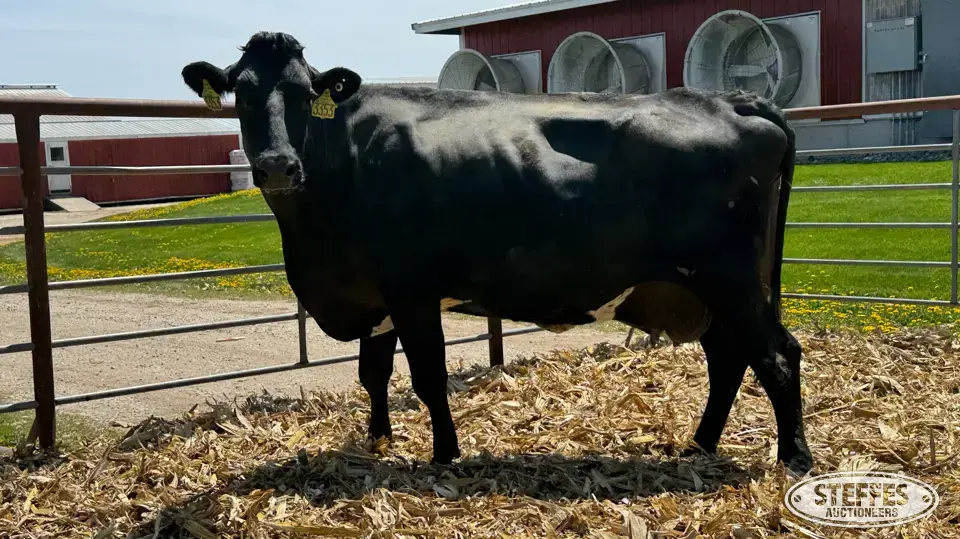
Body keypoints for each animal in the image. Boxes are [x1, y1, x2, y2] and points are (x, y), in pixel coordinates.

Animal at [180, 31, 813, 475]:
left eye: (305, 93)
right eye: (241, 92)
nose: (277, 165)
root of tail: (731, 100)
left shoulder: (411, 290)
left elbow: (428, 375)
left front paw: (444, 455)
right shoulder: (375, 294)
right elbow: (373, 373)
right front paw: (379, 440)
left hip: (729, 277)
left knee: (777, 355)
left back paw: (794, 458)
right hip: (708, 288)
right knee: (729, 358)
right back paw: (699, 445)